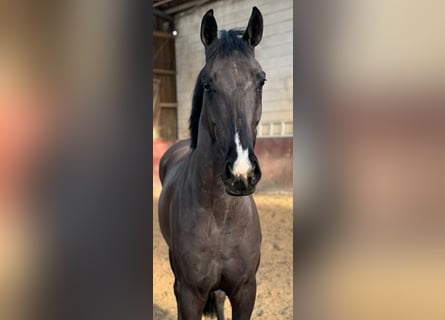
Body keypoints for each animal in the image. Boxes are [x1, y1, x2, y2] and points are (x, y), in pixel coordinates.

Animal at [159, 7, 264, 320]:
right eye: (207, 83)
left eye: (261, 80)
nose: (241, 174)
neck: (221, 217)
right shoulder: (190, 294)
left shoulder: (245, 291)